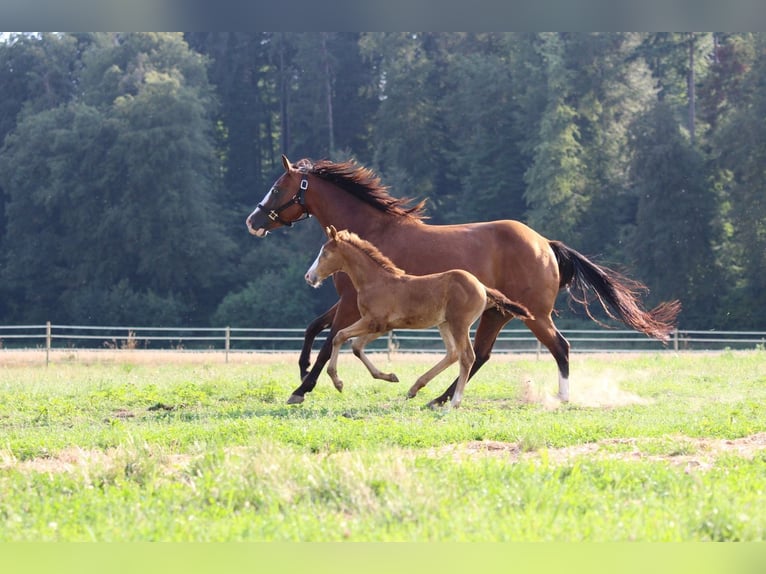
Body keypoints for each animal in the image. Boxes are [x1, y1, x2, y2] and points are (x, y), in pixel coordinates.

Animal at [304, 226, 536, 410]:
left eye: (325, 253)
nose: (309, 277)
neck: (375, 281)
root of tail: (482, 286)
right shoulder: (382, 327)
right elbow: (355, 346)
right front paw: (390, 376)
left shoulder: (373, 322)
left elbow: (340, 336)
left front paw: (338, 382)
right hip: (444, 324)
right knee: (453, 354)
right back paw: (415, 388)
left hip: (459, 324)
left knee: (467, 357)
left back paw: (454, 402)